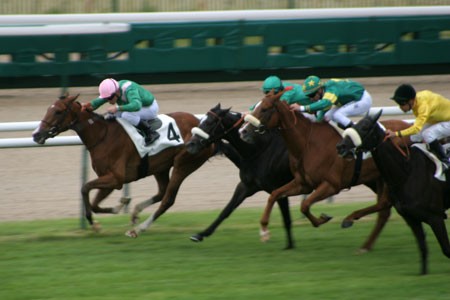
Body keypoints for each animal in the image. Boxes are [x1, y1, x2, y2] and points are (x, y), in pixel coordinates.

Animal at [32, 93, 219, 234]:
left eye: (58, 111)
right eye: (49, 109)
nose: (36, 135)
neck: (102, 135)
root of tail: (200, 124)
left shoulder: (116, 178)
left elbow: (85, 188)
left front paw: (98, 220)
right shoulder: (108, 179)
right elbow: (95, 203)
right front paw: (115, 209)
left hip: (184, 163)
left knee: (168, 199)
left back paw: (139, 228)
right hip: (161, 167)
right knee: (162, 191)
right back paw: (136, 213)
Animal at [184, 103, 294, 248]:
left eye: (209, 122)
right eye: (200, 121)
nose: (190, 144)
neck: (258, 150)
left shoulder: (278, 188)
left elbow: (286, 218)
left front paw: (289, 246)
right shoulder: (247, 186)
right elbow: (226, 210)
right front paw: (200, 234)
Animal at [241, 91, 410, 251]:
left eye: (264, 109)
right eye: (255, 107)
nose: (243, 131)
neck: (306, 144)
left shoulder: (331, 185)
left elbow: (305, 205)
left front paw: (322, 219)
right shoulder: (303, 184)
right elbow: (274, 195)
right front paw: (264, 230)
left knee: (385, 204)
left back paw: (351, 221)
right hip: (378, 178)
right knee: (384, 209)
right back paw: (364, 244)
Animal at [338, 110, 450, 274]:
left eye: (365, 127)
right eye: (354, 124)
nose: (340, 146)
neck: (406, 173)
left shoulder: (435, 217)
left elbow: (446, 249)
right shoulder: (411, 218)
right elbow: (423, 248)